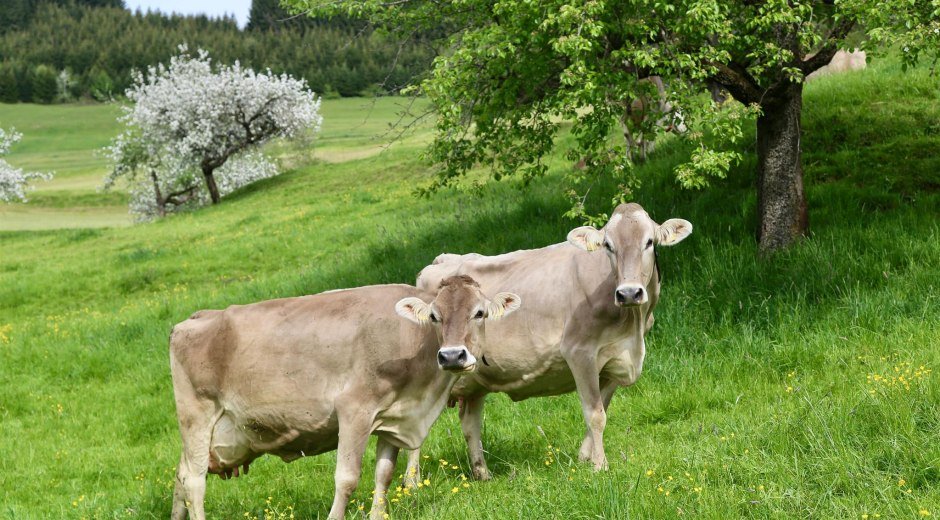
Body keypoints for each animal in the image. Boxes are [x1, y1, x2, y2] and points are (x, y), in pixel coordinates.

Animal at [169, 274, 520, 516]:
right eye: (435, 316)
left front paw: (377, 515)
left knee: (180, 477)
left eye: (479, 313)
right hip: (197, 414)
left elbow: (384, 474)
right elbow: (347, 478)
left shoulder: (394, 416)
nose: (451, 356)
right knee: (194, 482)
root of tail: (197, 317)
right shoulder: (354, 410)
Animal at [404, 202, 692, 480]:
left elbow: (603, 409)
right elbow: (595, 414)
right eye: (608, 246)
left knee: (470, 421)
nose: (629, 292)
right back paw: (412, 482)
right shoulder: (579, 352)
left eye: (649, 242)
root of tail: (441, 259)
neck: (633, 325)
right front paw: (600, 466)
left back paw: (482, 473)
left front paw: (584, 458)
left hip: (473, 378)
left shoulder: (614, 360)